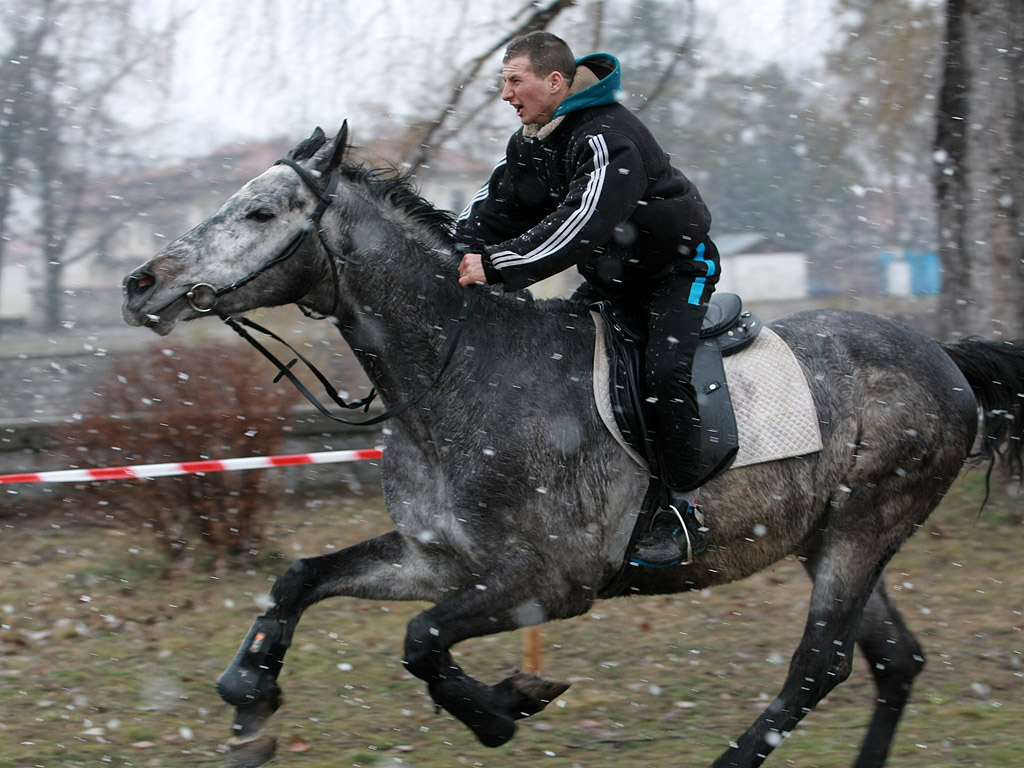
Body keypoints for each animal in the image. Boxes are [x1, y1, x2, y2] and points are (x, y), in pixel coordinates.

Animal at [121, 123, 1024, 765]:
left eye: (261, 213)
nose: (141, 283)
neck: (458, 371)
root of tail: (944, 359)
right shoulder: (436, 559)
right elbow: (301, 579)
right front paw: (250, 695)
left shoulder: (551, 583)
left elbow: (422, 642)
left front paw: (505, 709)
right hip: (823, 536)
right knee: (893, 661)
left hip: (864, 528)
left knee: (821, 664)